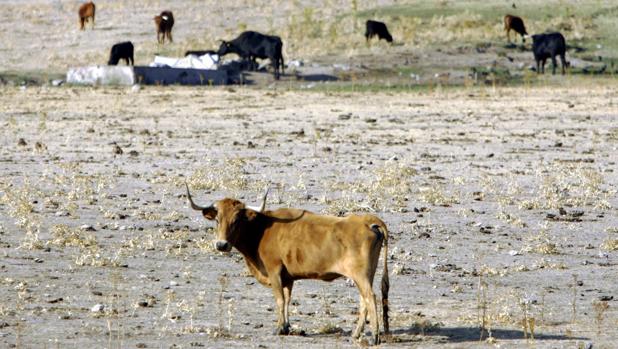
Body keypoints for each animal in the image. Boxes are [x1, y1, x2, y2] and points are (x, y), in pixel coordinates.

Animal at [184, 184, 390, 344]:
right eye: (218, 219)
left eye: (236, 220)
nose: (221, 245)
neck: (261, 229)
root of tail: (366, 220)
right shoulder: (288, 277)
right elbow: (287, 299)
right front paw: (287, 326)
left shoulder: (274, 270)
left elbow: (279, 299)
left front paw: (279, 328)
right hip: (365, 275)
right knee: (364, 301)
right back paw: (356, 334)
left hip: (360, 275)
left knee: (370, 297)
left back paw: (374, 336)